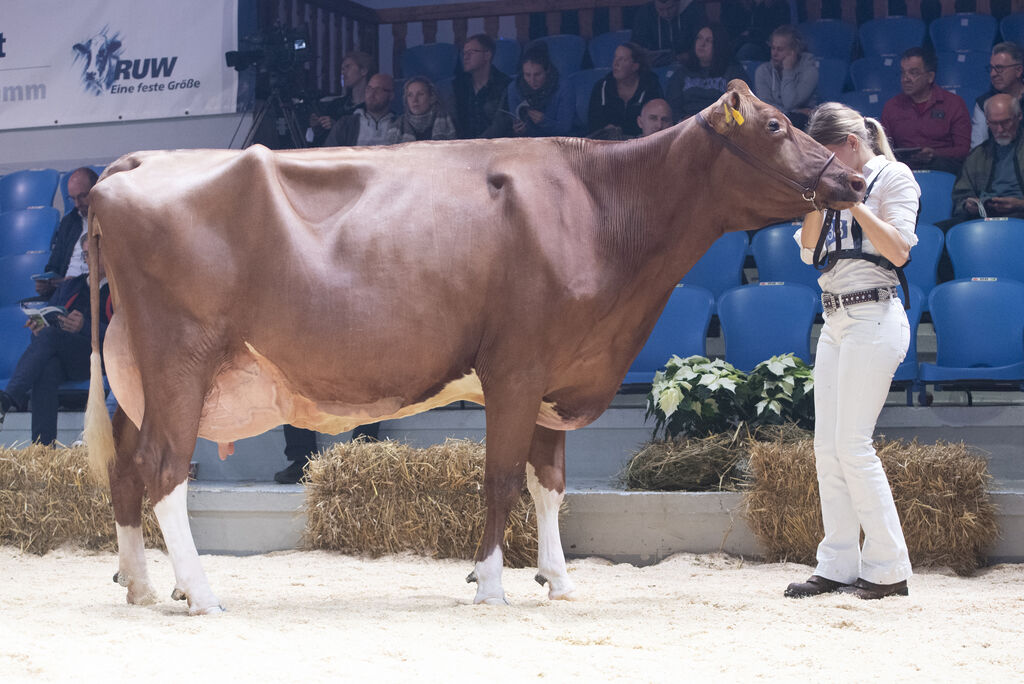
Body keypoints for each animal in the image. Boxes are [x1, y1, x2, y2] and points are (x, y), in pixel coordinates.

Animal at [84, 82, 863, 614]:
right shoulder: (516, 366)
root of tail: (135, 162)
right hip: (181, 355)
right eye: (775, 124)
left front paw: (559, 579)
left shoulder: (557, 373)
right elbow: (501, 479)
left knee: (126, 468)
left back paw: (142, 587)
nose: (854, 178)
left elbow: (551, 484)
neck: (598, 205)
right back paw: (200, 592)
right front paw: (490, 582)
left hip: (138, 373)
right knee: (164, 471)